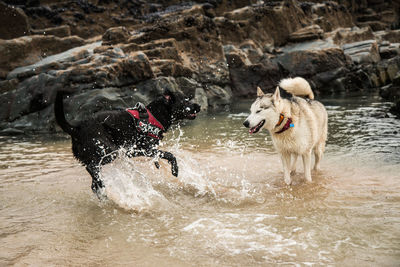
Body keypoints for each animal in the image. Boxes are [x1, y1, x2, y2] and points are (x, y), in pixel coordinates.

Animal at [54, 89, 202, 197]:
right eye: (186, 100)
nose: (199, 106)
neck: (155, 115)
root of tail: (77, 129)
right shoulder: (144, 149)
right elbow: (170, 155)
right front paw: (175, 170)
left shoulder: (137, 152)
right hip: (109, 151)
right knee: (91, 168)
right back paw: (102, 186)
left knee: (94, 179)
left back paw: (101, 191)